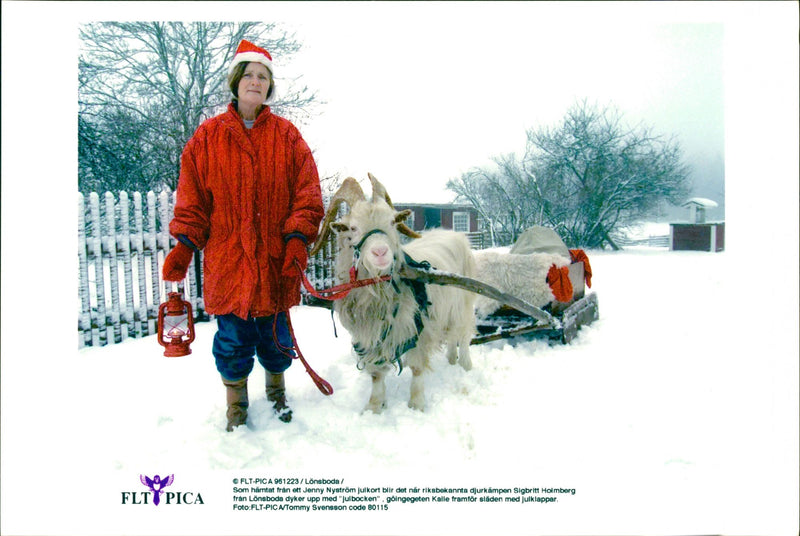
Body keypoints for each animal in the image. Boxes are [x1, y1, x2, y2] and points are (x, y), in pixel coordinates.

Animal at [310, 174, 476, 412]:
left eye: (391, 222)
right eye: (352, 228)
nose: (380, 252)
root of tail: (453, 234)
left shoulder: (420, 329)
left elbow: (416, 368)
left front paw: (416, 404)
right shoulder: (369, 337)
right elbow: (376, 374)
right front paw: (374, 406)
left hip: (463, 305)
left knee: (463, 335)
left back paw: (464, 365)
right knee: (452, 337)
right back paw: (452, 361)